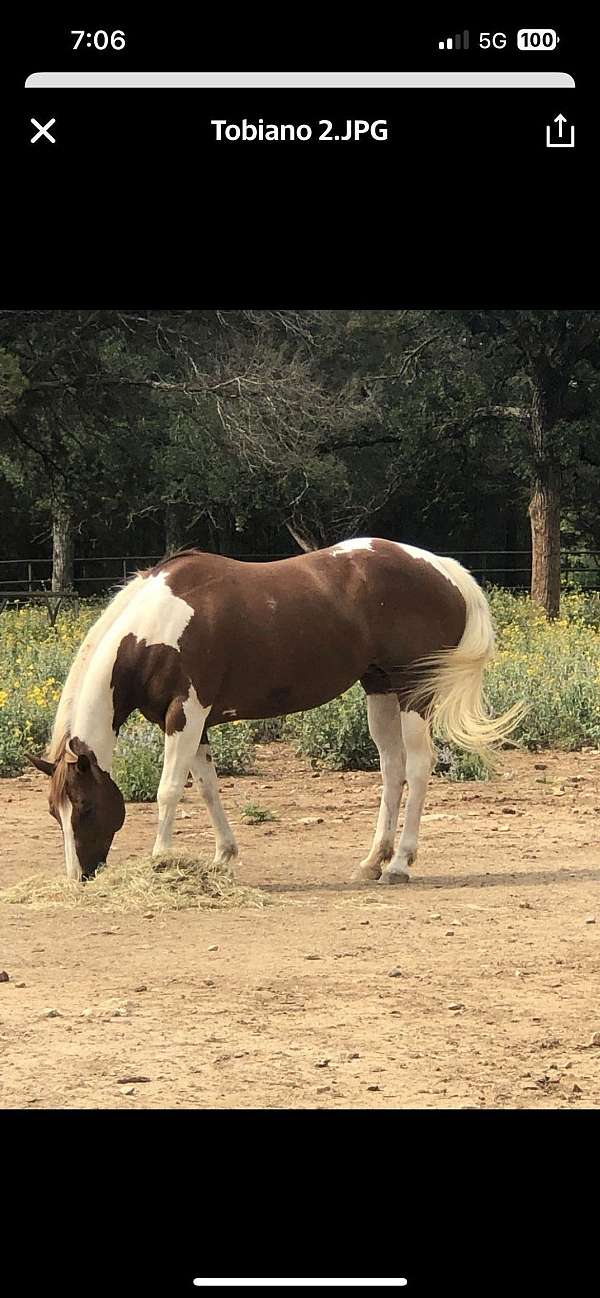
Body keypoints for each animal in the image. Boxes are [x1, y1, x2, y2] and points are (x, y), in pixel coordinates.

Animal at [30, 537, 522, 882]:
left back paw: (400, 863)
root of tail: (442, 568)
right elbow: (207, 787)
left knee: (419, 766)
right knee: (391, 769)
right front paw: (222, 857)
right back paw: (372, 861)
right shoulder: (197, 725)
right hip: (379, 689)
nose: (80, 877)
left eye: (84, 808)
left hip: (413, 691)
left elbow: (169, 789)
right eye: (55, 812)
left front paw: (162, 860)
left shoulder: (184, 715)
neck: (155, 631)